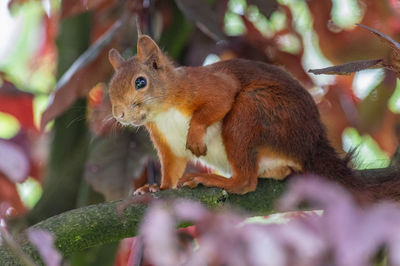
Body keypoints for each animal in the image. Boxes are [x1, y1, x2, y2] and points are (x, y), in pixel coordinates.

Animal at [107, 33, 400, 200]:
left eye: (141, 82)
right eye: (110, 87)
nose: (119, 114)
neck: (163, 113)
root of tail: (311, 144)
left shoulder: (202, 86)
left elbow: (222, 97)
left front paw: (195, 134)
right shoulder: (165, 141)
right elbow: (172, 166)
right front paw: (157, 188)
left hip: (252, 111)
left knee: (247, 182)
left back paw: (216, 180)